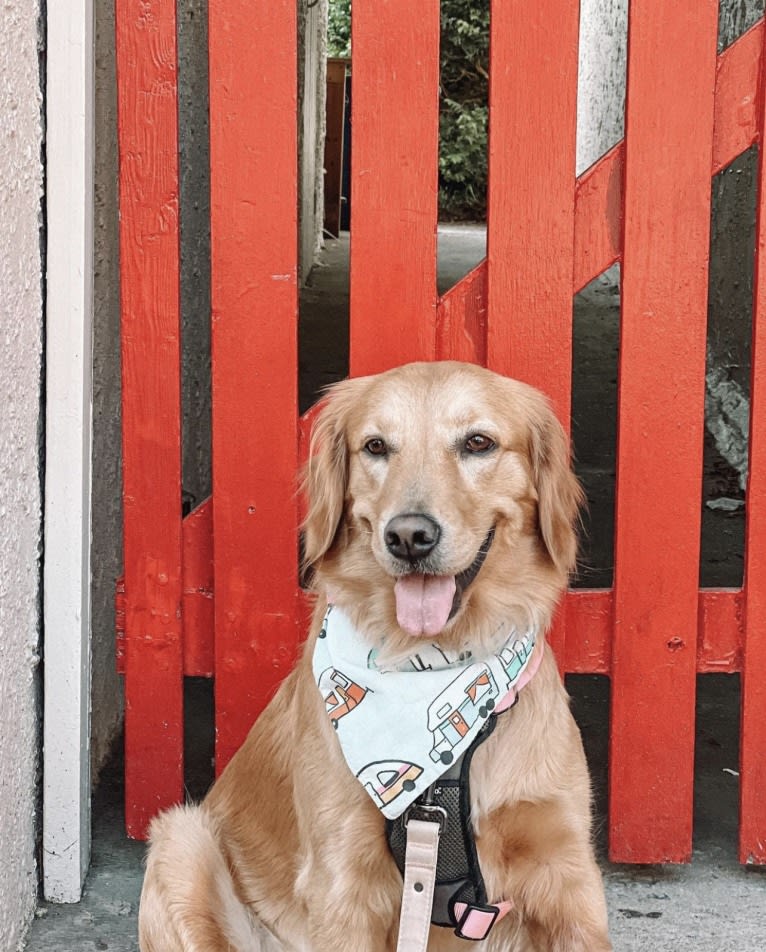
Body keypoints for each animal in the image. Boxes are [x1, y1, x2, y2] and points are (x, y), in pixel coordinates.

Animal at [141, 360, 616, 948]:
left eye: (478, 443)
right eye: (375, 446)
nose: (409, 536)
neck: (434, 663)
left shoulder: (567, 871)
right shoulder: (342, 880)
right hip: (181, 841)